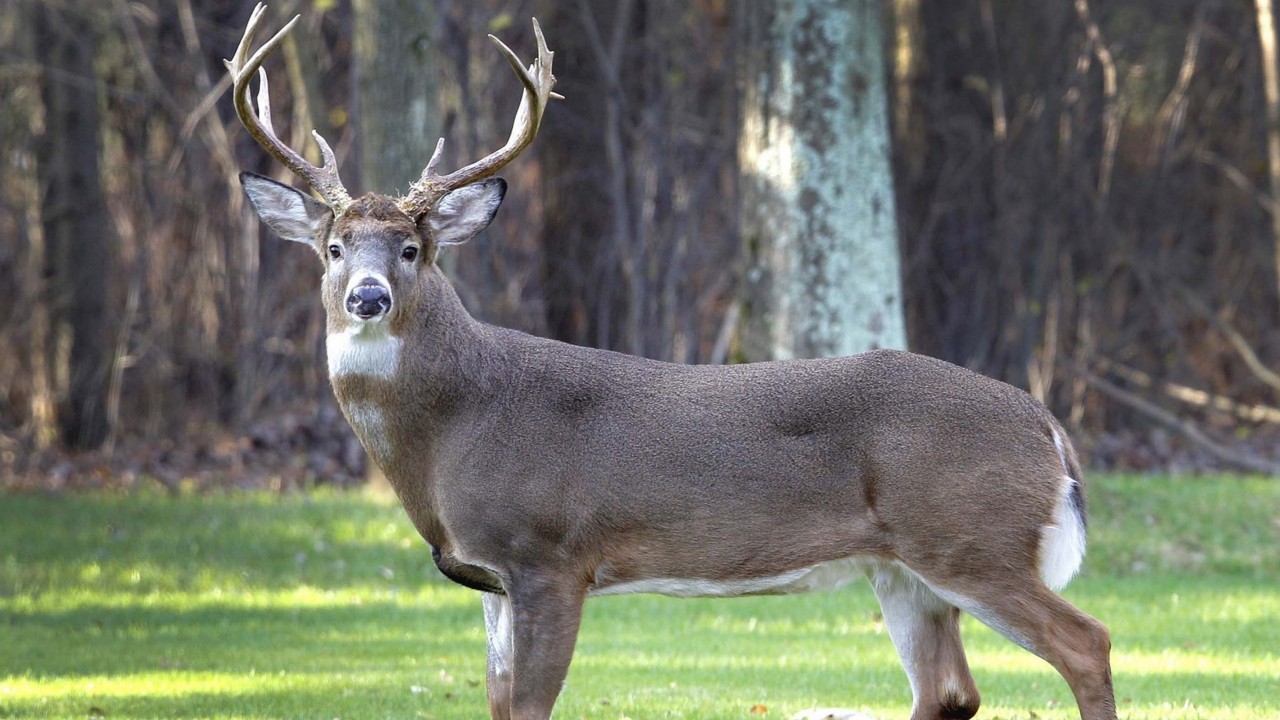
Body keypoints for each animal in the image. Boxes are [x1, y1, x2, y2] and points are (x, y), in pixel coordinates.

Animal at [227, 7, 1111, 717]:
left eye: (412, 249)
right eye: (333, 248)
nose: (368, 297)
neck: (454, 429)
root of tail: (1048, 427)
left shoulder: (551, 554)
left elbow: (531, 706)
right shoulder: (491, 578)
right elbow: (498, 702)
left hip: (970, 536)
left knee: (1087, 643)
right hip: (903, 569)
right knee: (951, 690)